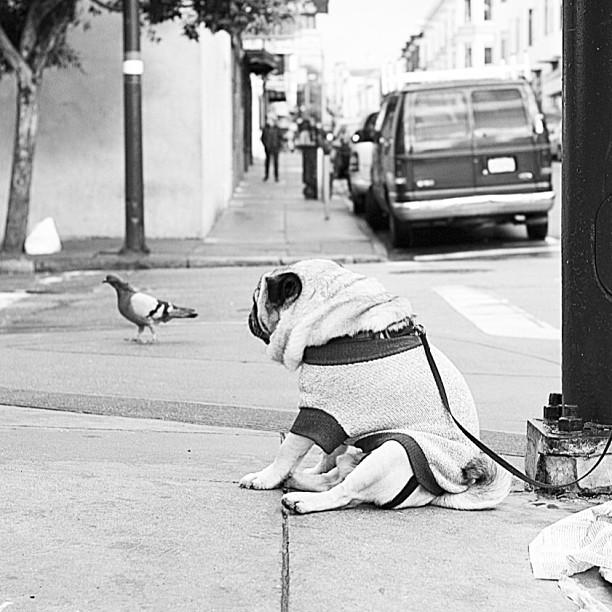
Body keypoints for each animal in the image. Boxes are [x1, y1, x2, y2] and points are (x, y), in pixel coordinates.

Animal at [240, 258, 512, 512]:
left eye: (256, 299)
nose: (249, 315)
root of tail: (445, 492)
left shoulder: (319, 413)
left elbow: (287, 451)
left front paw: (264, 478)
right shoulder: (339, 419)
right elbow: (329, 455)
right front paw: (311, 470)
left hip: (392, 452)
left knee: (344, 493)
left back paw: (301, 500)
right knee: (337, 477)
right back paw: (298, 479)